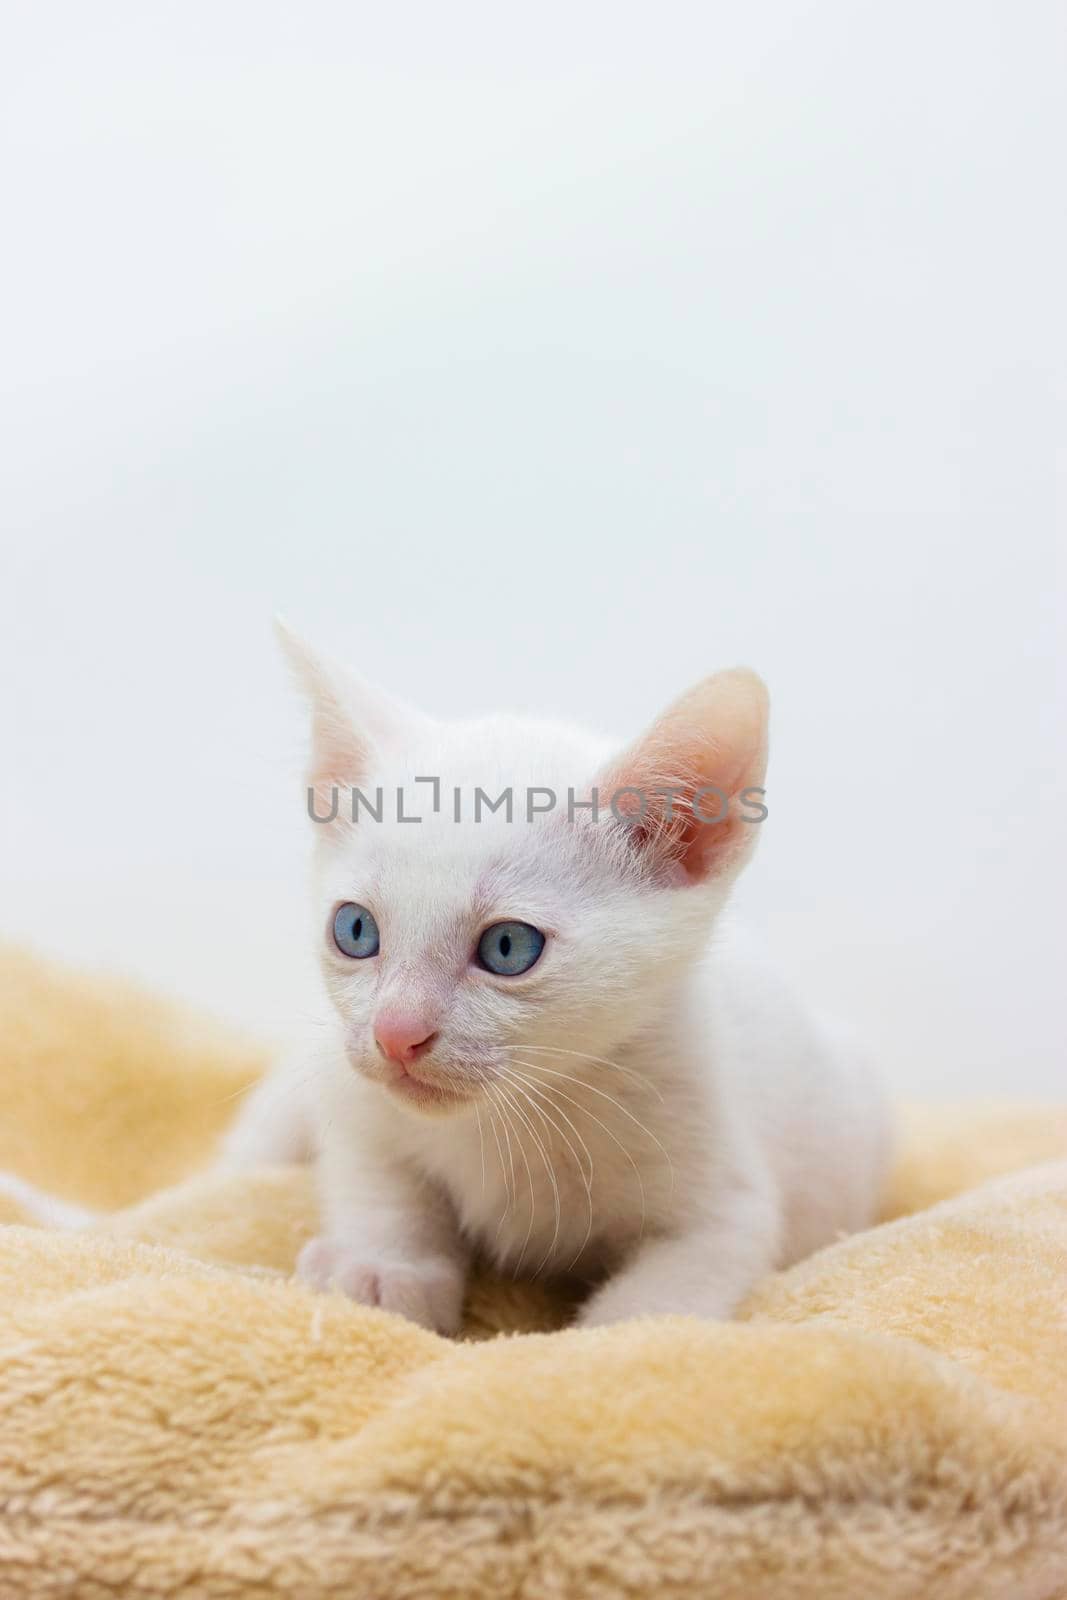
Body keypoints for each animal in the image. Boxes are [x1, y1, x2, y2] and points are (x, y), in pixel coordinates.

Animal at [227, 624, 895, 1337]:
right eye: (355, 930)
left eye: (508, 947)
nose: (396, 1033)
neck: (514, 1115)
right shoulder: (359, 1109)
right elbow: (381, 1182)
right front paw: (385, 1271)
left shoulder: (724, 1206)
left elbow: (660, 1299)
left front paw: (611, 1341)